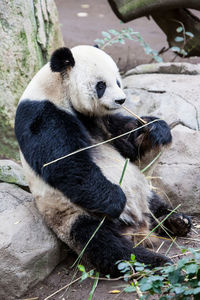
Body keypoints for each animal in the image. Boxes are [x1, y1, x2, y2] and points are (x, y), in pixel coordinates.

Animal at [14, 45, 191, 276]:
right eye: (101, 85)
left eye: (118, 81)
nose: (121, 100)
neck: (57, 87)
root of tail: (138, 228)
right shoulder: (43, 114)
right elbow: (64, 164)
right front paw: (116, 199)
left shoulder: (103, 121)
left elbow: (128, 146)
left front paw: (156, 128)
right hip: (73, 215)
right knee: (105, 244)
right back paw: (154, 261)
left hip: (144, 194)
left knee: (156, 204)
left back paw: (178, 221)